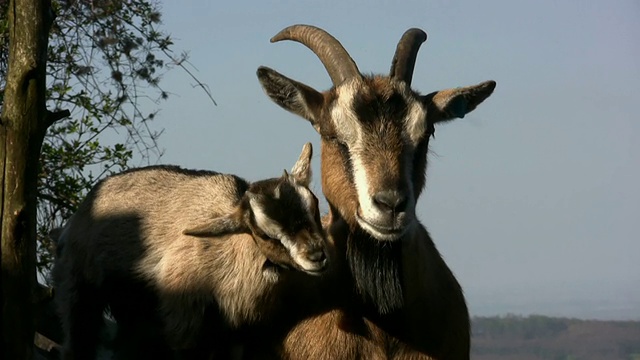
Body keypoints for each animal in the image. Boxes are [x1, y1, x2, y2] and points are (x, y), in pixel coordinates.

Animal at [52, 142, 328, 358]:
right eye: (264, 233)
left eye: (313, 206)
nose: (316, 256)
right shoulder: (184, 318)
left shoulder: (243, 332)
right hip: (78, 286)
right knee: (78, 335)